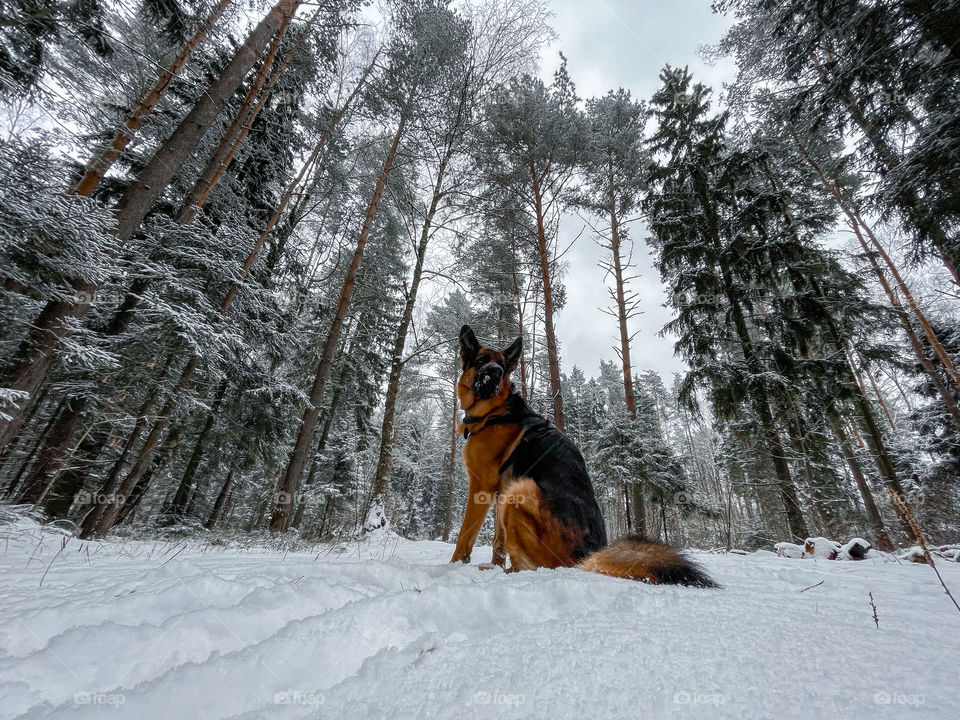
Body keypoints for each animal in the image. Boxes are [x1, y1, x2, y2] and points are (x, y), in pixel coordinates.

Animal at [450, 324, 712, 588]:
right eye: (482, 360)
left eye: (502, 367)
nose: (494, 372)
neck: (494, 412)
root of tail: (587, 556)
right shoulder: (497, 490)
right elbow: (498, 542)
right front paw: (490, 563)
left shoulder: (481, 486)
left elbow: (465, 535)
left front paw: (452, 566)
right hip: (509, 495)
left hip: (519, 492)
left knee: (533, 567)